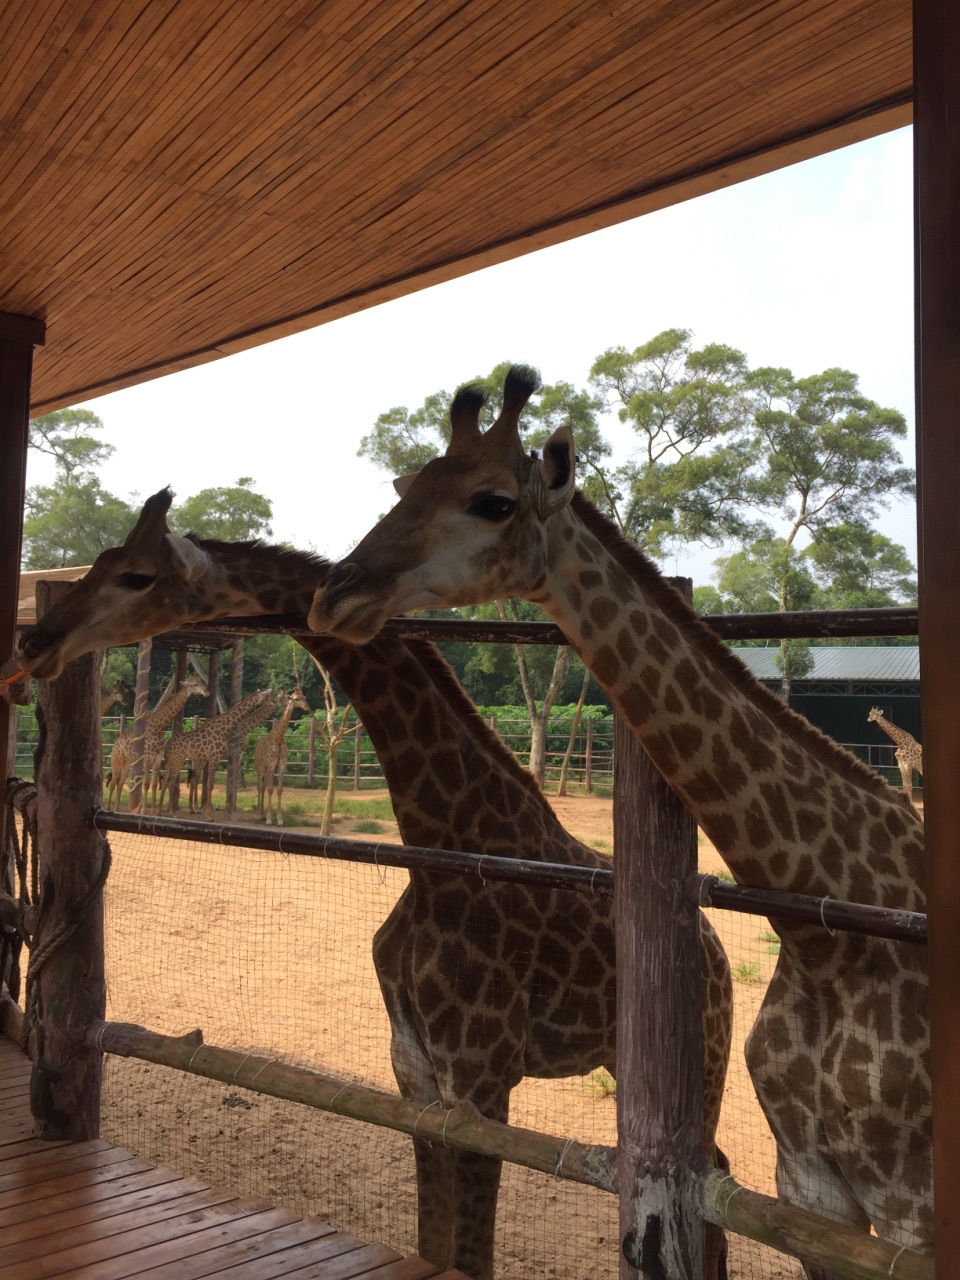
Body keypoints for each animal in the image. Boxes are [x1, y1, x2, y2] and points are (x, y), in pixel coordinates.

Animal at [104, 670, 208, 808]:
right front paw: (142, 811)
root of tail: (116, 742)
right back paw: (108, 808)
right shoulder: (148, 757)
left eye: (202, 682)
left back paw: (116, 808)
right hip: (117, 759)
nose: (207, 692)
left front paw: (153, 811)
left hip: (127, 762)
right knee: (113, 782)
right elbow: (146, 784)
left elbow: (153, 785)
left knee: (120, 782)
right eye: (195, 684)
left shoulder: (157, 758)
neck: (159, 727)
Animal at [161, 691, 277, 819]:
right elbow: (212, 784)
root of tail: (167, 744)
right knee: (179, 780)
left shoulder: (232, 756)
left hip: (178, 760)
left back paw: (168, 810)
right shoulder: (223, 755)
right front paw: (211, 815)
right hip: (182, 760)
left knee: (175, 779)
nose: (274, 704)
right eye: (266, 697)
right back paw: (176, 811)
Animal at [256, 686, 312, 824]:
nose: (306, 708)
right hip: (260, 767)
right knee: (259, 786)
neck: (279, 739)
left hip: (267, 769)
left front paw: (279, 819)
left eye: (304, 697)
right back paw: (259, 814)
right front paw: (269, 818)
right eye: (296, 699)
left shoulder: (281, 765)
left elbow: (279, 789)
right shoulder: (271, 764)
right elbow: (271, 789)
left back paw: (262, 812)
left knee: (263, 787)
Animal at [305, 366, 931, 1264]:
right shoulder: (814, 1187)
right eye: (406, 486)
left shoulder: (912, 1199)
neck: (833, 936)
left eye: (493, 501)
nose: (334, 594)